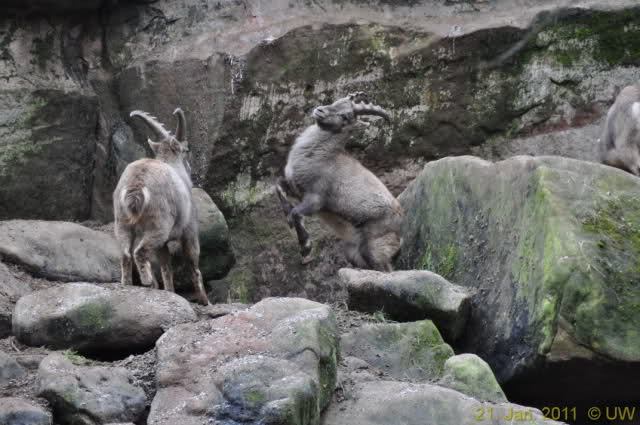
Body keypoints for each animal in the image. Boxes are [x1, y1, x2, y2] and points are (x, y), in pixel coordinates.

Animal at [113, 108, 209, 305]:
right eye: (186, 150)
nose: (190, 168)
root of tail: (136, 186)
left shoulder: (163, 245)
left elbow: (166, 267)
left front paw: (170, 291)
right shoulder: (190, 230)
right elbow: (194, 266)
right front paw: (205, 300)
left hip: (122, 223)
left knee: (126, 254)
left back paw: (128, 284)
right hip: (159, 225)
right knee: (139, 252)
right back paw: (148, 282)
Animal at [276, 92, 403, 272]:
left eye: (345, 116)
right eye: (335, 102)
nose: (319, 110)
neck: (320, 155)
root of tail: (400, 231)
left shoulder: (316, 197)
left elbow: (297, 212)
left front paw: (305, 248)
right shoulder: (296, 187)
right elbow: (279, 187)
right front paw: (287, 217)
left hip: (373, 245)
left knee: (385, 269)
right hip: (353, 252)